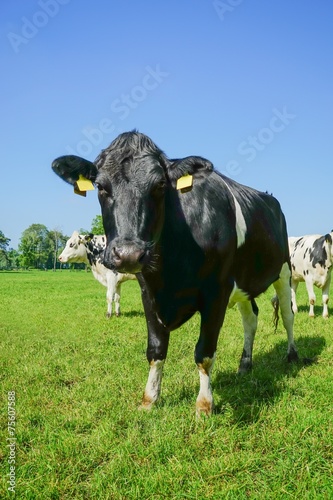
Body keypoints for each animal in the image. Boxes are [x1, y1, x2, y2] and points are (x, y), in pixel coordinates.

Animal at [52, 131, 298, 416]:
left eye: (160, 185)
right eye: (101, 187)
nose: (128, 254)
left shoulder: (217, 291)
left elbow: (204, 352)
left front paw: (204, 404)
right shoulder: (148, 292)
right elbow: (156, 349)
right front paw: (150, 399)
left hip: (284, 271)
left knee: (288, 314)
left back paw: (292, 355)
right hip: (244, 285)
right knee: (251, 319)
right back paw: (245, 364)